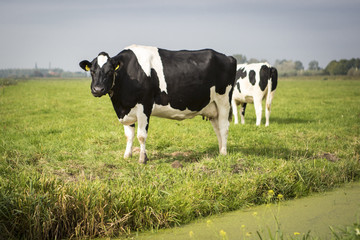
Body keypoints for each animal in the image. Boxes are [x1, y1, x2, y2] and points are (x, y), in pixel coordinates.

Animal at [79, 44, 236, 163]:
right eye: (92, 71)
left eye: (110, 71)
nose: (97, 89)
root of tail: (228, 57)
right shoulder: (125, 108)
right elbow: (129, 135)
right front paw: (127, 155)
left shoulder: (144, 106)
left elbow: (141, 135)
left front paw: (142, 159)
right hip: (212, 107)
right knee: (217, 129)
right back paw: (220, 150)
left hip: (223, 101)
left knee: (224, 127)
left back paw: (223, 153)